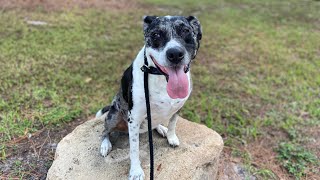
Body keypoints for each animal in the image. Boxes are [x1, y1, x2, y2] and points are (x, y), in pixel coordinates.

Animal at [94, 15, 202, 180]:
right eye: (156, 34)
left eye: (186, 31)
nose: (175, 54)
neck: (161, 78)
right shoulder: (134, 118)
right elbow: (134, 150)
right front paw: (136, 171)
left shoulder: (178, 108)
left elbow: (173, 124)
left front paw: (171, 137)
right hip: (114, 115)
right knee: (105, 130)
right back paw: (105, 144)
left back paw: (161, 128)